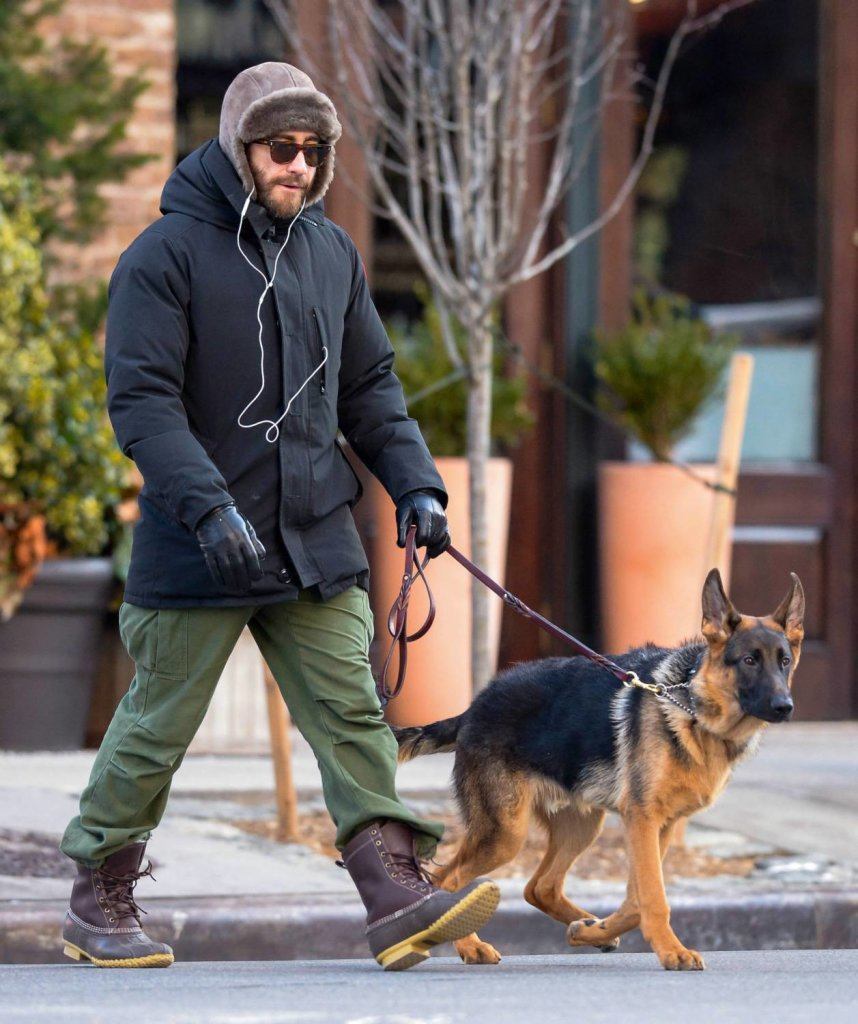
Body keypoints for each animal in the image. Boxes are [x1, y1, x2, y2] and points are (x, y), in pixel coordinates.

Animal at [393, 565, 802, 970]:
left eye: (784, 661)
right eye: (749, 660)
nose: (785, 707)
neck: (692, 708)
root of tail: (473, 709)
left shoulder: (660, 826)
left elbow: (637, 900)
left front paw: (593, 932)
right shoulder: (642, 820)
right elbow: (652, 897)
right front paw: (672, 951)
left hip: (581, 825)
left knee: (538, 887)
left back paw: (586, 926)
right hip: (506, 834)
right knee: (446, 879)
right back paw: (468, 945)